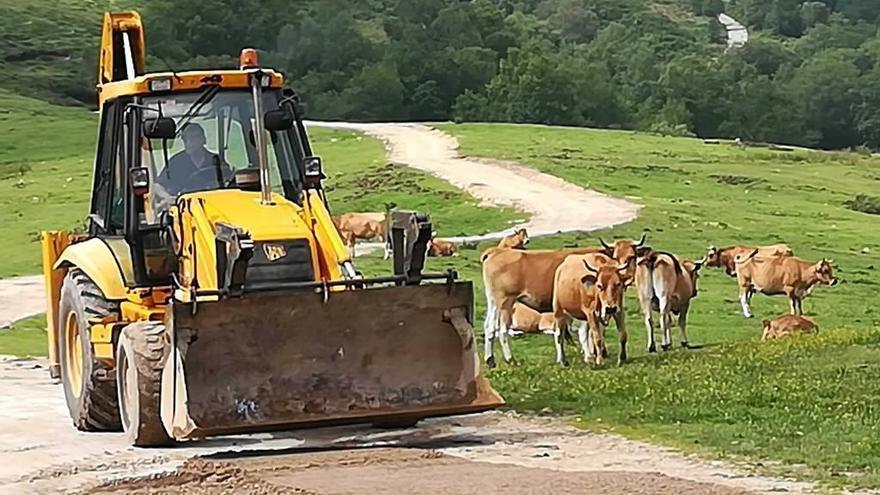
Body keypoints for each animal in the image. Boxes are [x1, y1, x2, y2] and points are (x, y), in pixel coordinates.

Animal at [482, 235, 648, 368]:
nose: (624, 276)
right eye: (616, 256)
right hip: (506, 302)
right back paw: (511, 359)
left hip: (494, 302)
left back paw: (490, 360)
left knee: (489, 327)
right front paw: (591, 355)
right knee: (503, 330)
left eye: (632, 256)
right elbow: (586, 331)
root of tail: (495, 251)